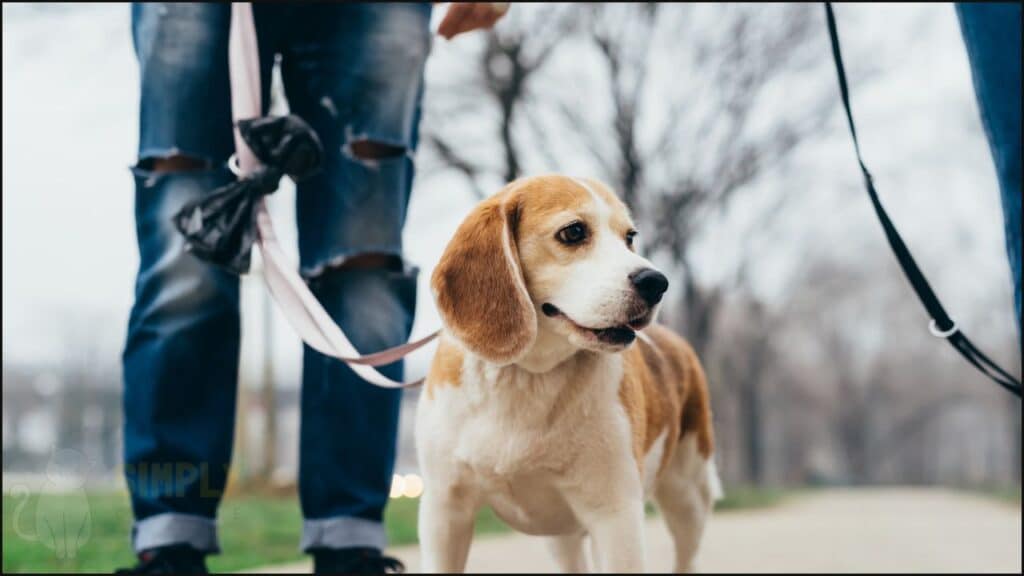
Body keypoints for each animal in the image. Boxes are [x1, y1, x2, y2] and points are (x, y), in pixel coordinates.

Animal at [415, 174, 720, 569]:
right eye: (574, 232)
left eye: (629, 236)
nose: (656, 282)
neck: (523, 375)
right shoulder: (444, 512)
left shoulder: (615, 516)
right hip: (561, 535)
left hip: (689, 496)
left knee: (687, 554)